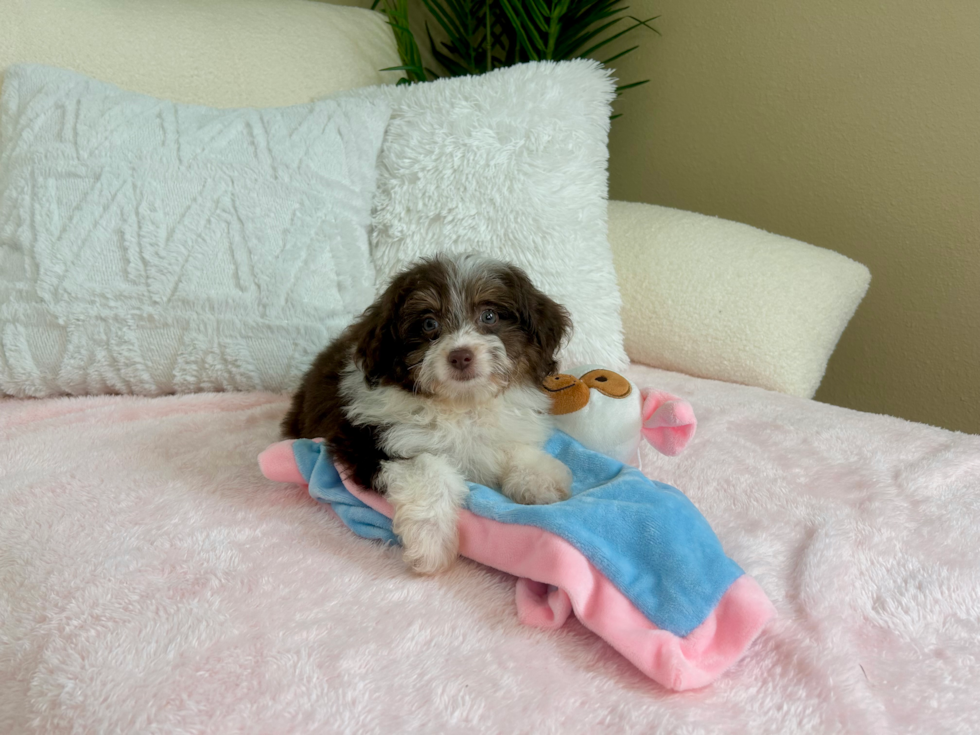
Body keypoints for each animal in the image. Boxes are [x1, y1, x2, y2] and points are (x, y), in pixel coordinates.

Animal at [282, 258, 576, 576]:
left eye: (489, 315)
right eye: (428, 324)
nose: (460, 356)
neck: (460, 404)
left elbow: (514, 447)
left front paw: (541, 480)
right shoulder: (369, 440)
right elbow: (429, 469)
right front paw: (432, 544)